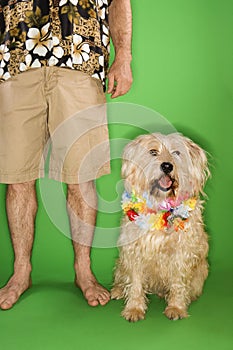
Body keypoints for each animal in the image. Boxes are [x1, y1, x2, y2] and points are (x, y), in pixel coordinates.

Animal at [110, 133, 209, 322]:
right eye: (153, 152)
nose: (167, 166)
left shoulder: (182, 253)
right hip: (121, 263)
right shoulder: (134, 252)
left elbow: (178, 282)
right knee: (122, 277)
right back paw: (117, 290)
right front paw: (134, 309)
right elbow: (135, 283)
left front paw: (176, 307)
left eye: (176, 152)